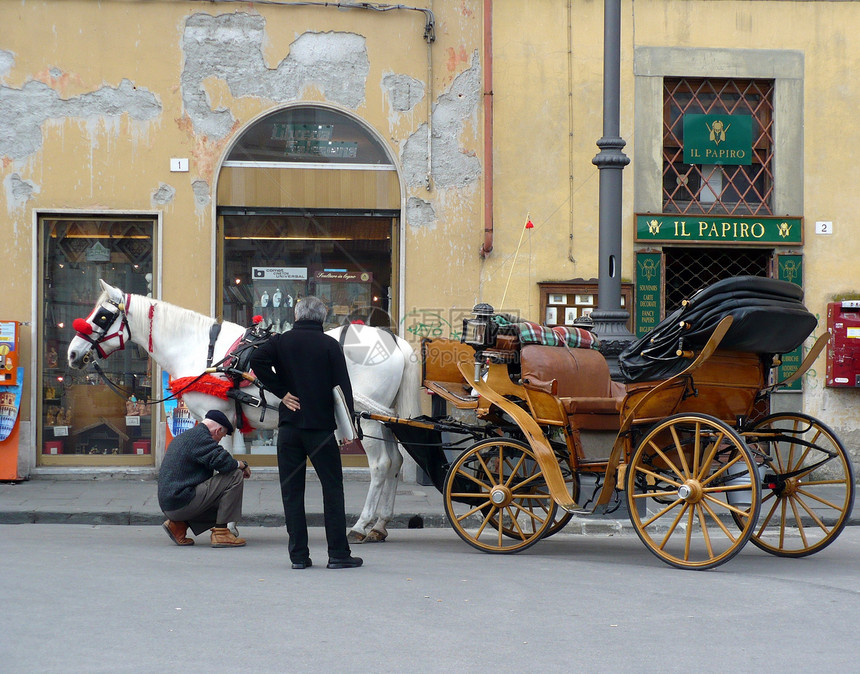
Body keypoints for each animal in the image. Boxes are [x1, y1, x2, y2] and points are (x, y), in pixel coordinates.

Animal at [65, 278, 422, 540]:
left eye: (101, 316)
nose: (72, 353)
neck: (203, 350)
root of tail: (393, 341)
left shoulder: (217, 416)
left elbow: (221, 466)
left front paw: (224, 525)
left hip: (369, 421)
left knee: (380, 466)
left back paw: (362, 525)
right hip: (384, 418)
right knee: (395, 462)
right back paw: (380, 525)